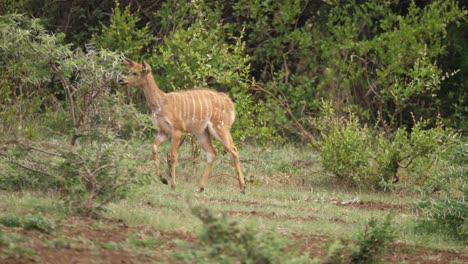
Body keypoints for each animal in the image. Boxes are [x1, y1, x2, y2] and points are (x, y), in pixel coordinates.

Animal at [119, 58, 247, 193]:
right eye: (128, 70)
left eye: (135, 73)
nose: (120, 80)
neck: (161, 103)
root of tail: (228, 103)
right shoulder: (163, 130)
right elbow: (153, 147)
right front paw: (163, 179)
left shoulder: (177, 129)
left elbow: (173, 156)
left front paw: (173, 184)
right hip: (202, 132)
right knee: (212, 154)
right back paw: (200, 188)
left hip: (220, 127)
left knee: (234, 150)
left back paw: (243, 188)